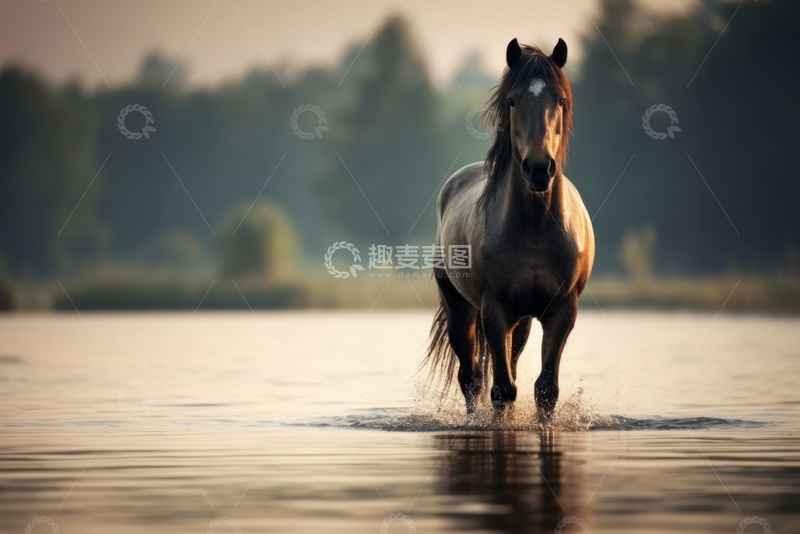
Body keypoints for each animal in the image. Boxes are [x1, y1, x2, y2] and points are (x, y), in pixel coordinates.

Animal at [425, 37, 594, 420]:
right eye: (513, 100)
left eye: (559, 100)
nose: (539, 168)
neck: (535, 227)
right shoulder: (495, 309)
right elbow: (501, 389)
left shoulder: (561, 311)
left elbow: (545, 390)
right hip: (461, 309)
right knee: (471, 377)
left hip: (523, 321)